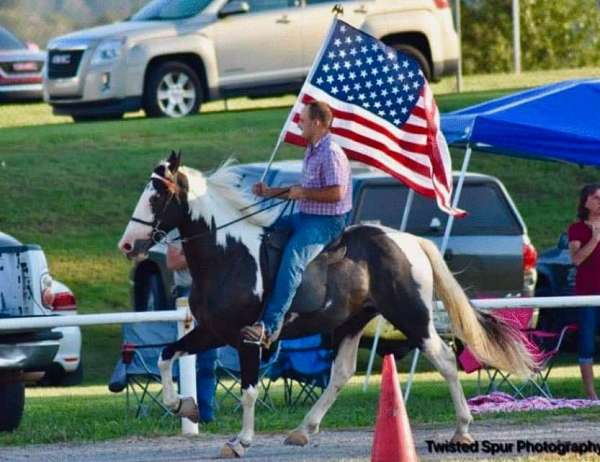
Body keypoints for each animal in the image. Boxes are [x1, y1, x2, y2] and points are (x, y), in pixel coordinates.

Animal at [117, 152, 536, 458]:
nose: (128, 245)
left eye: (156, 196)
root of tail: (410, 241)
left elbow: (249, 390)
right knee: (341, 374)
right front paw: (182, 406)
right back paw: (303, 430)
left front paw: (240, 442)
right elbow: (166, 356)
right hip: (351, 323)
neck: (229, 254)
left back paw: (462, 430)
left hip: (413, 318)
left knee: (446, 361)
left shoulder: (246, 339)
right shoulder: (211, 331)